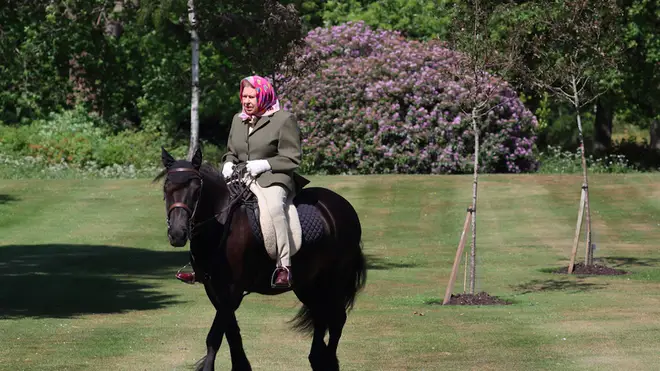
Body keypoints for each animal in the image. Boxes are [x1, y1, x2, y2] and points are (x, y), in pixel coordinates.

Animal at [158, 147, 368, 370]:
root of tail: (342, 206)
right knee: (320, 316)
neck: (221, 225)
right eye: (166, 188)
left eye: (197, 190)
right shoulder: (214, 289)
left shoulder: (232, 290)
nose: (178, 234)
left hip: (334, 280)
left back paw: (327, 360)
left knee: (337, 319)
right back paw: (316, 359)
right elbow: (231, 332)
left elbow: (214, 337)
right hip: (308, 283)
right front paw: (241, 365)